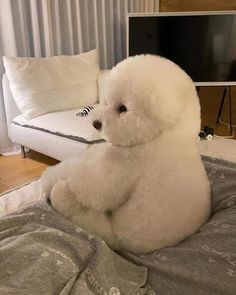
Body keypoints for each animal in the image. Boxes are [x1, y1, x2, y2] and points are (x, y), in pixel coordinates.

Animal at [40, 55, 210, 254]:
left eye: (122, 109)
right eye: (106, 102)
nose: (96, 123)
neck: (171, 135)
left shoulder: (126, 165)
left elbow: (92, 189)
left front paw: (49, 178)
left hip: (106, 231)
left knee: (73, 204)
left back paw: (58, 192)